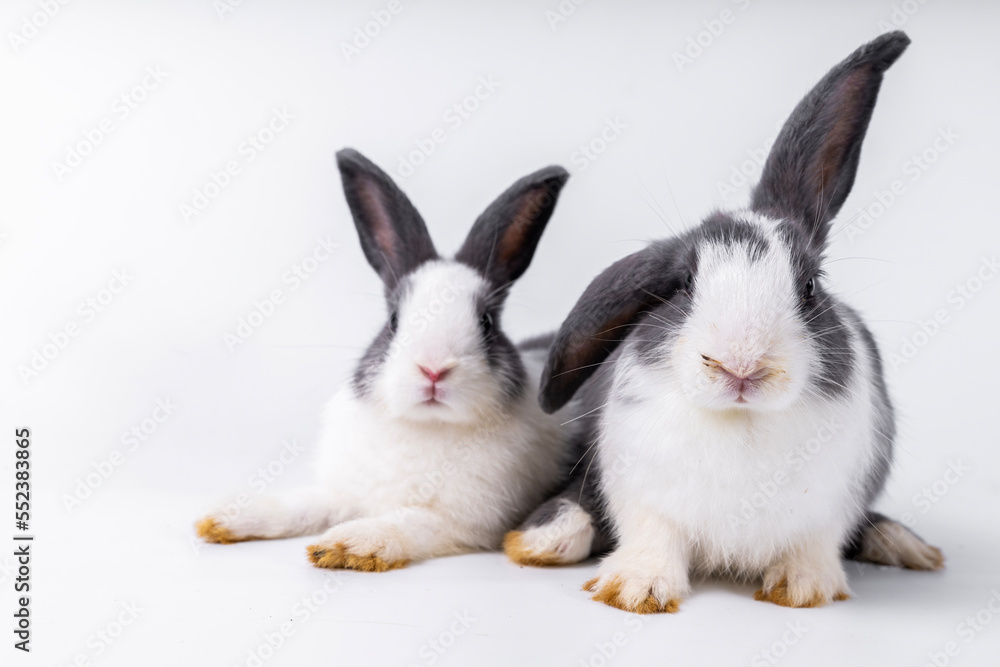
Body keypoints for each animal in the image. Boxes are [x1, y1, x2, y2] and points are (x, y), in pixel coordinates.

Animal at [196, 149, 578, 571]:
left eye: (486, 322)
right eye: (393, 320)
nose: (433, 369)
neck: (425, 426)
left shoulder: (463, 522)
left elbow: (406, 522)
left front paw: (350, 543)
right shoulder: (344, 493)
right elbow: (304, 505)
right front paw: (226, 517)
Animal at [505, 31, 943, 612]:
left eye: (809, 287)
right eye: (685, 285)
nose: (741, 364)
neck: (741, 420)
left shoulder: (828, 509)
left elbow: (813, 545)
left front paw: (802, 587)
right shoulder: (643, 495)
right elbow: (653, 536)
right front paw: (635, 589)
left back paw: (907, 545)